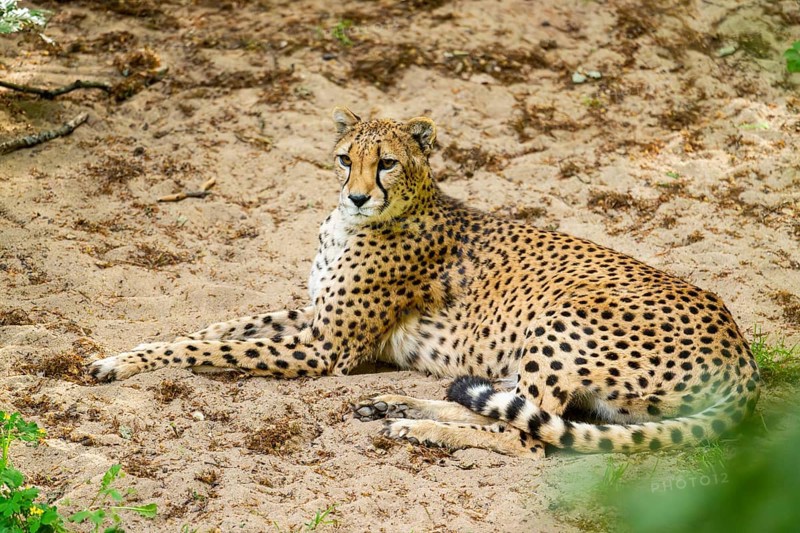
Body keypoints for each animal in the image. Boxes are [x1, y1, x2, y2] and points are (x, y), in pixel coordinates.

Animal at [90, 107, 761, 457]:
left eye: (387, 162)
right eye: (345, 158)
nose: (358, 196)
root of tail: (744, 358)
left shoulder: (327, 350)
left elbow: (215, 347)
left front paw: (123, 365)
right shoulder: (311, 320)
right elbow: (214, 327)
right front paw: (128, 354)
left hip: (561, 321)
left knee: (529, 435)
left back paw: (415, 425)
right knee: (503, 405)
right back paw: (399, 403)